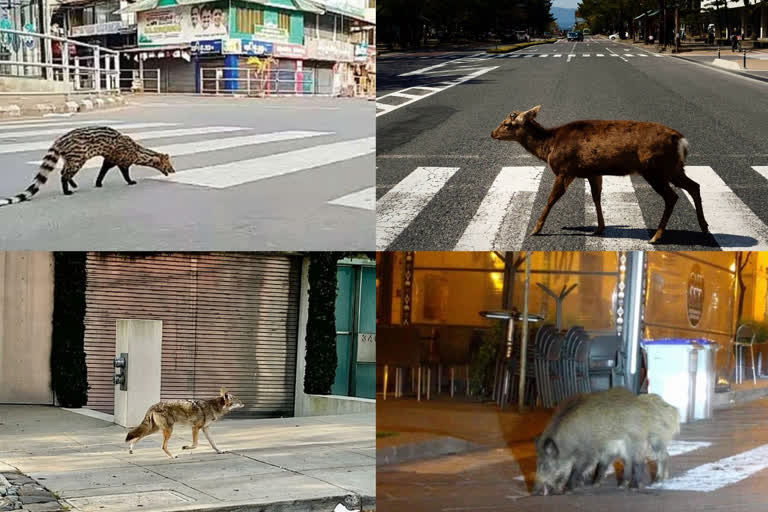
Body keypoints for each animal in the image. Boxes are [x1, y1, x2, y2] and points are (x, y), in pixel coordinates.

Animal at [492, 105, 708, 243]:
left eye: (507, 124)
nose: (492, 133)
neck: (549, 146)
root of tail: (681, 141)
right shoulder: (592, 172)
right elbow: (596, 197)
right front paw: (599, 228)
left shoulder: (565, 169)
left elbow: (551, 199)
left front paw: (536, 229)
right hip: (673, 168)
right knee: (694, 186)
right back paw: (704, 228)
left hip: (654, 168)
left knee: (672, 196)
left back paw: (656, 236)